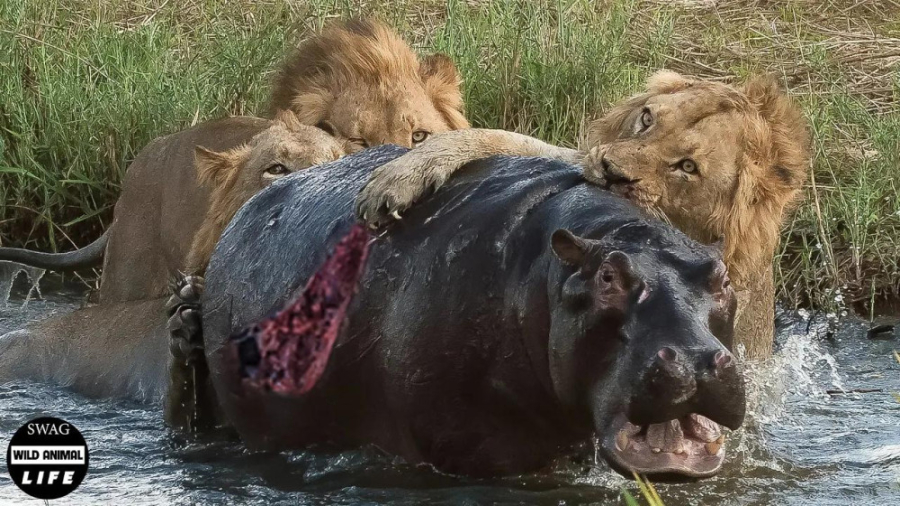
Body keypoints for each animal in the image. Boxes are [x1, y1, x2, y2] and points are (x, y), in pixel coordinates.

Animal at [356, 70, 812, 360]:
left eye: (687, 167)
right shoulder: (574, 157)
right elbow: (495, 137)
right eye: (647, 119)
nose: (610, 172)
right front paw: (400, 176)